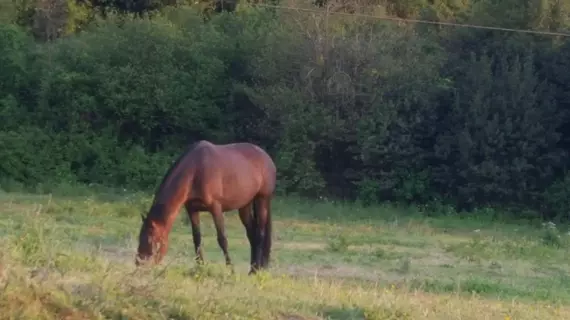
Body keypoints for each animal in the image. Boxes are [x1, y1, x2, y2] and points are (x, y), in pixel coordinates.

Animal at [134, 140, 276, 276]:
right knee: (252, 234)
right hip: (245, 205)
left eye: (151, 240)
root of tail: (266, 157)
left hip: (262, 199)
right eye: (139, 238)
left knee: (260, 234)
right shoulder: (192, 210)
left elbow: (222, 239)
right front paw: (200, 268)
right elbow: (197, 239)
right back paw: (253, 268)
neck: (196, 170)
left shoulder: (216, 208)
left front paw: (231, 270)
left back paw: (256, 270)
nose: (139, 264)